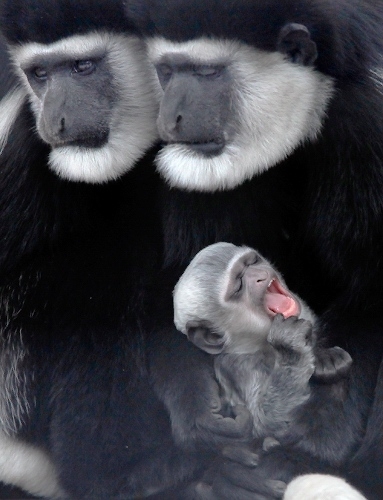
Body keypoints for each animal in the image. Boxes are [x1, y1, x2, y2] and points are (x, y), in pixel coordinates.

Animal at [174, 243, 354, 450]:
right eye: (238, 286)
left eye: (252, 262)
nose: (259, 276)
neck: (257, 345)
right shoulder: (244, 367)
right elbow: (268, 424)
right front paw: (290, 349)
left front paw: (326, 357)